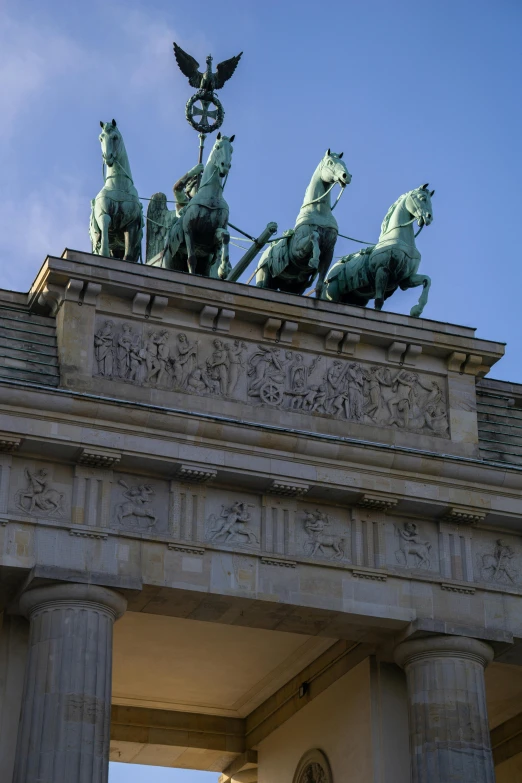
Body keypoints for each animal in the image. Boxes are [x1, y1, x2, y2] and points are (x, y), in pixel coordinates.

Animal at [89, 118, 142, 262]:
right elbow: (106, 222)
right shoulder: (103, 214)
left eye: (115, 137)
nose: (108, 157)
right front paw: (104, 252)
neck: (118, 186)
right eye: (101, 138)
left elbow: (128, 255)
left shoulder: (131, 224)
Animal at [255, 152, 352, 298]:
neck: (319, 212)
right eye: (330, 162)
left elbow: (319, 285)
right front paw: (314, 260)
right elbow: (314, 235)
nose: (346, 176)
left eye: (344, 163)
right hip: (264, 275)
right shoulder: (297, 251)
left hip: (293, 286)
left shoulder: (329, 251)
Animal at [320, 185, 434, 316]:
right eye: (422, 198)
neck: (398, 239)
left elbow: (427, 280)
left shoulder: (405, 279)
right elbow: (379, 301)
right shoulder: (382, 270)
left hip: (356, 299)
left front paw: (416, 310)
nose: (429, 217)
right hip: (332, 293)